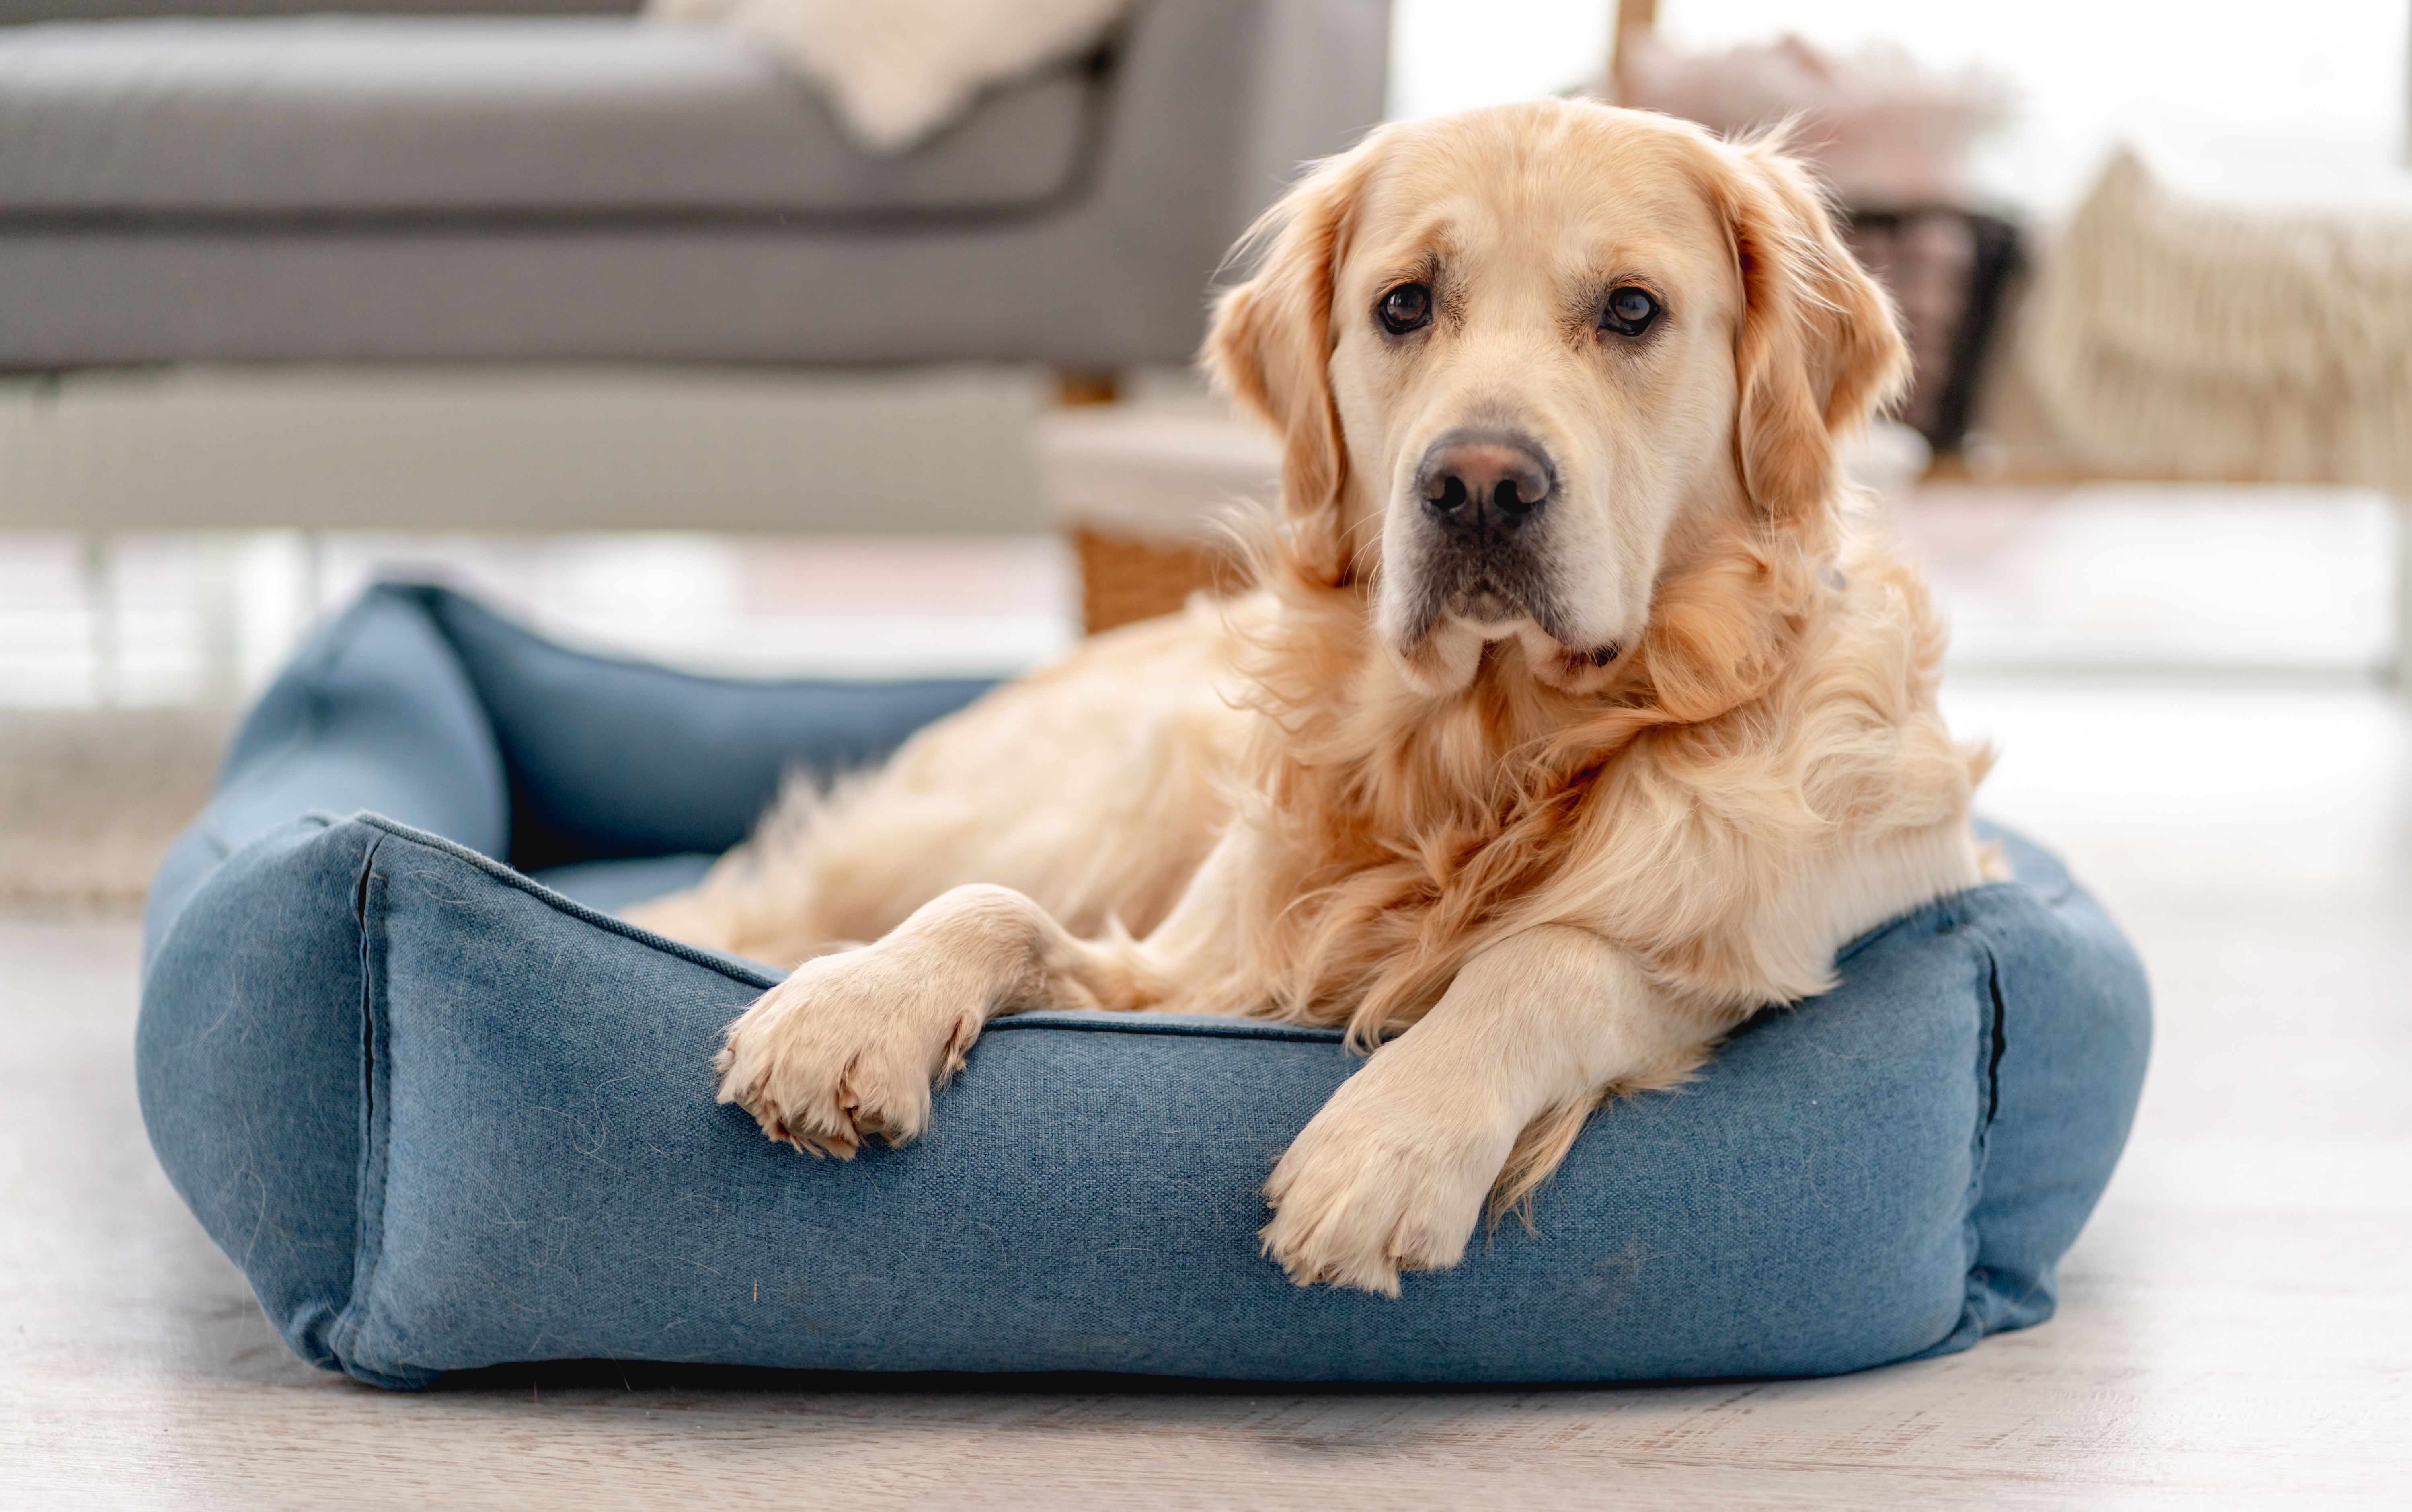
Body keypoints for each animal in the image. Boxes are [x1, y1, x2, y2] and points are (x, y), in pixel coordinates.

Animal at [632, 101, 1987, 1292]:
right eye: (1403, 305)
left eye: (1630, 310)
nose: (1477, 484)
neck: (1489, 753)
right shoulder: (1186, 974)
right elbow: (993, 909)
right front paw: (854, 1008)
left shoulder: (1753, 950)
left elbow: (1555, 956)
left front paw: (1387, 1145)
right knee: (769, 897)